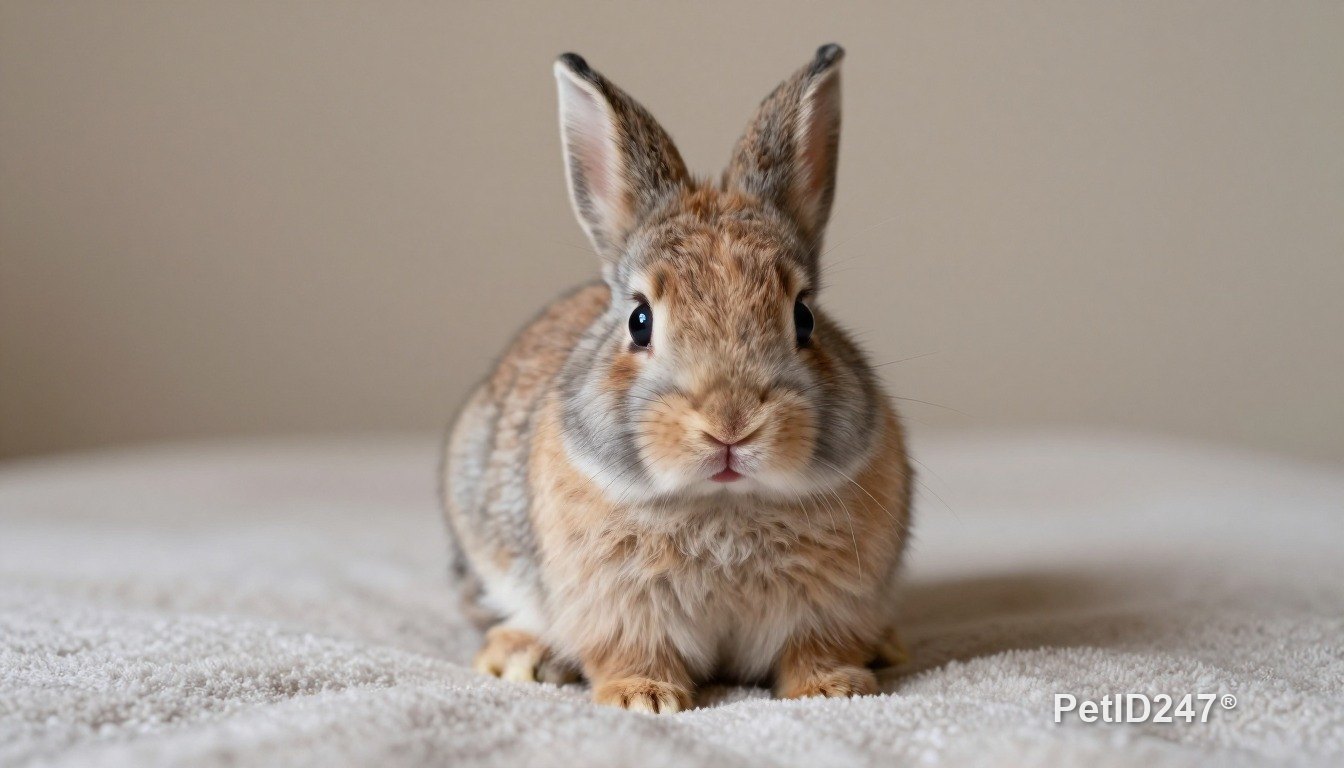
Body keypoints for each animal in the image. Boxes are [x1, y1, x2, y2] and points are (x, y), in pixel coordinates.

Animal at [442, 43, 913, 713]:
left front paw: (833, 689)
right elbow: (631, 651)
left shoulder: (832, 606)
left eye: (804, 317)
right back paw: (520, 657)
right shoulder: (619, 608)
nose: (729, 424)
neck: (724, 504)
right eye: (639, 321)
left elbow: (815, 648)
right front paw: (644, 698)